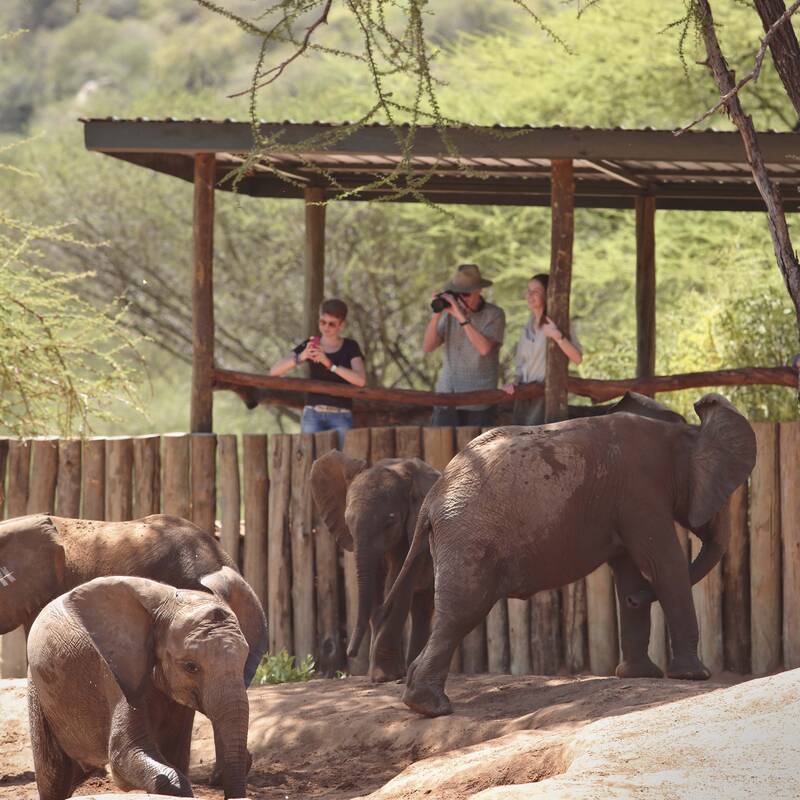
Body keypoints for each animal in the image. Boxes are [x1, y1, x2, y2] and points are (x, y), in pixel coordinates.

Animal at [27, 576, 250, 800]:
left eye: (244, 661)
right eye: (191, 666)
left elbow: (174, 756)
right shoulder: (115, 670)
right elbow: (125, 753)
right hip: (38, 690)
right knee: (53, 777)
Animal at [310, 450, 440, 680]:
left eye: (391, 522)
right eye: (348, 522)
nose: (350, 652)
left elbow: (398, 585)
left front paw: (383, 677)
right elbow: (375, 586)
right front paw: (384, 675)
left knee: (423, 606)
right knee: (421, 607)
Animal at [386, 394, 756, 720]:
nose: (638, 600)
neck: (677, 434)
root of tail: (433, 497)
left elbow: (630, 571)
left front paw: (639, 673)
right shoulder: (641, 492)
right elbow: (664, 565)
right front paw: (694, 676)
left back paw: (418, 698)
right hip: (469, 537)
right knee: (463, 611)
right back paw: (431, 707)